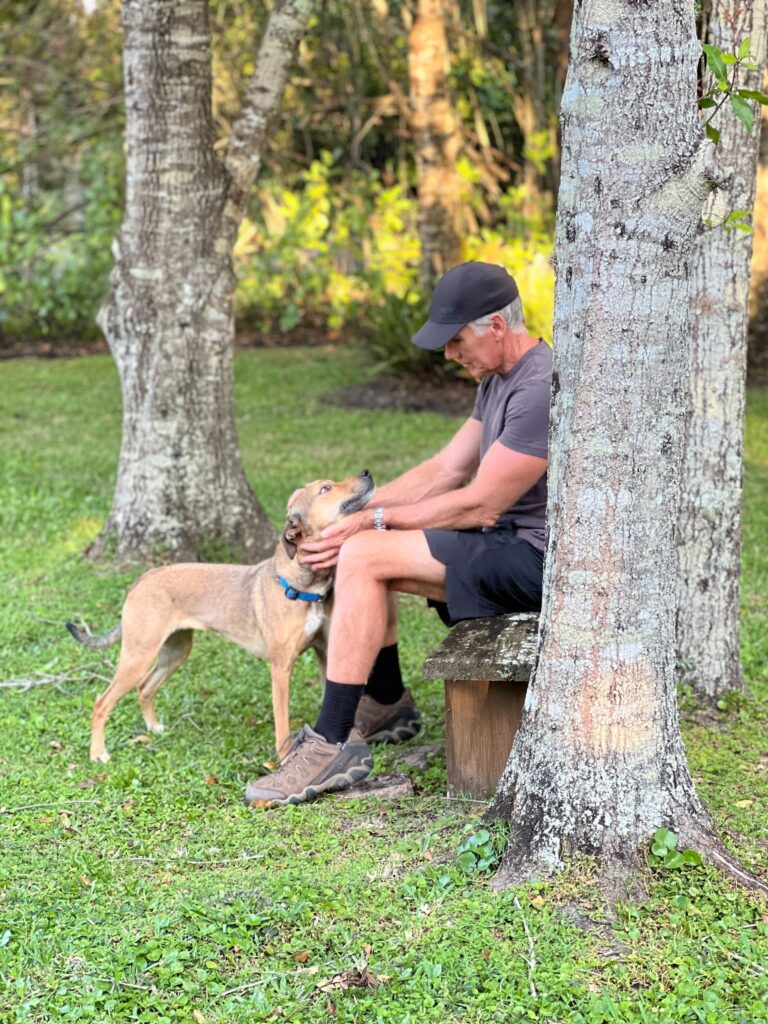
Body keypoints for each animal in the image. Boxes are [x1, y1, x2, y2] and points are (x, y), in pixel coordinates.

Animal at [67, 468, 374, 761]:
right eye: (325, 488)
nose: (366, 472)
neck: (304, 586)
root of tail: (143, 579)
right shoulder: (280, 668)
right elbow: (283, 724)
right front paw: (285, 755)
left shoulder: (324, 653)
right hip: (138, 655)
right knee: (102, 702)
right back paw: (98, 753)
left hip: (175, 651)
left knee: (144, 688)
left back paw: (153, 728)